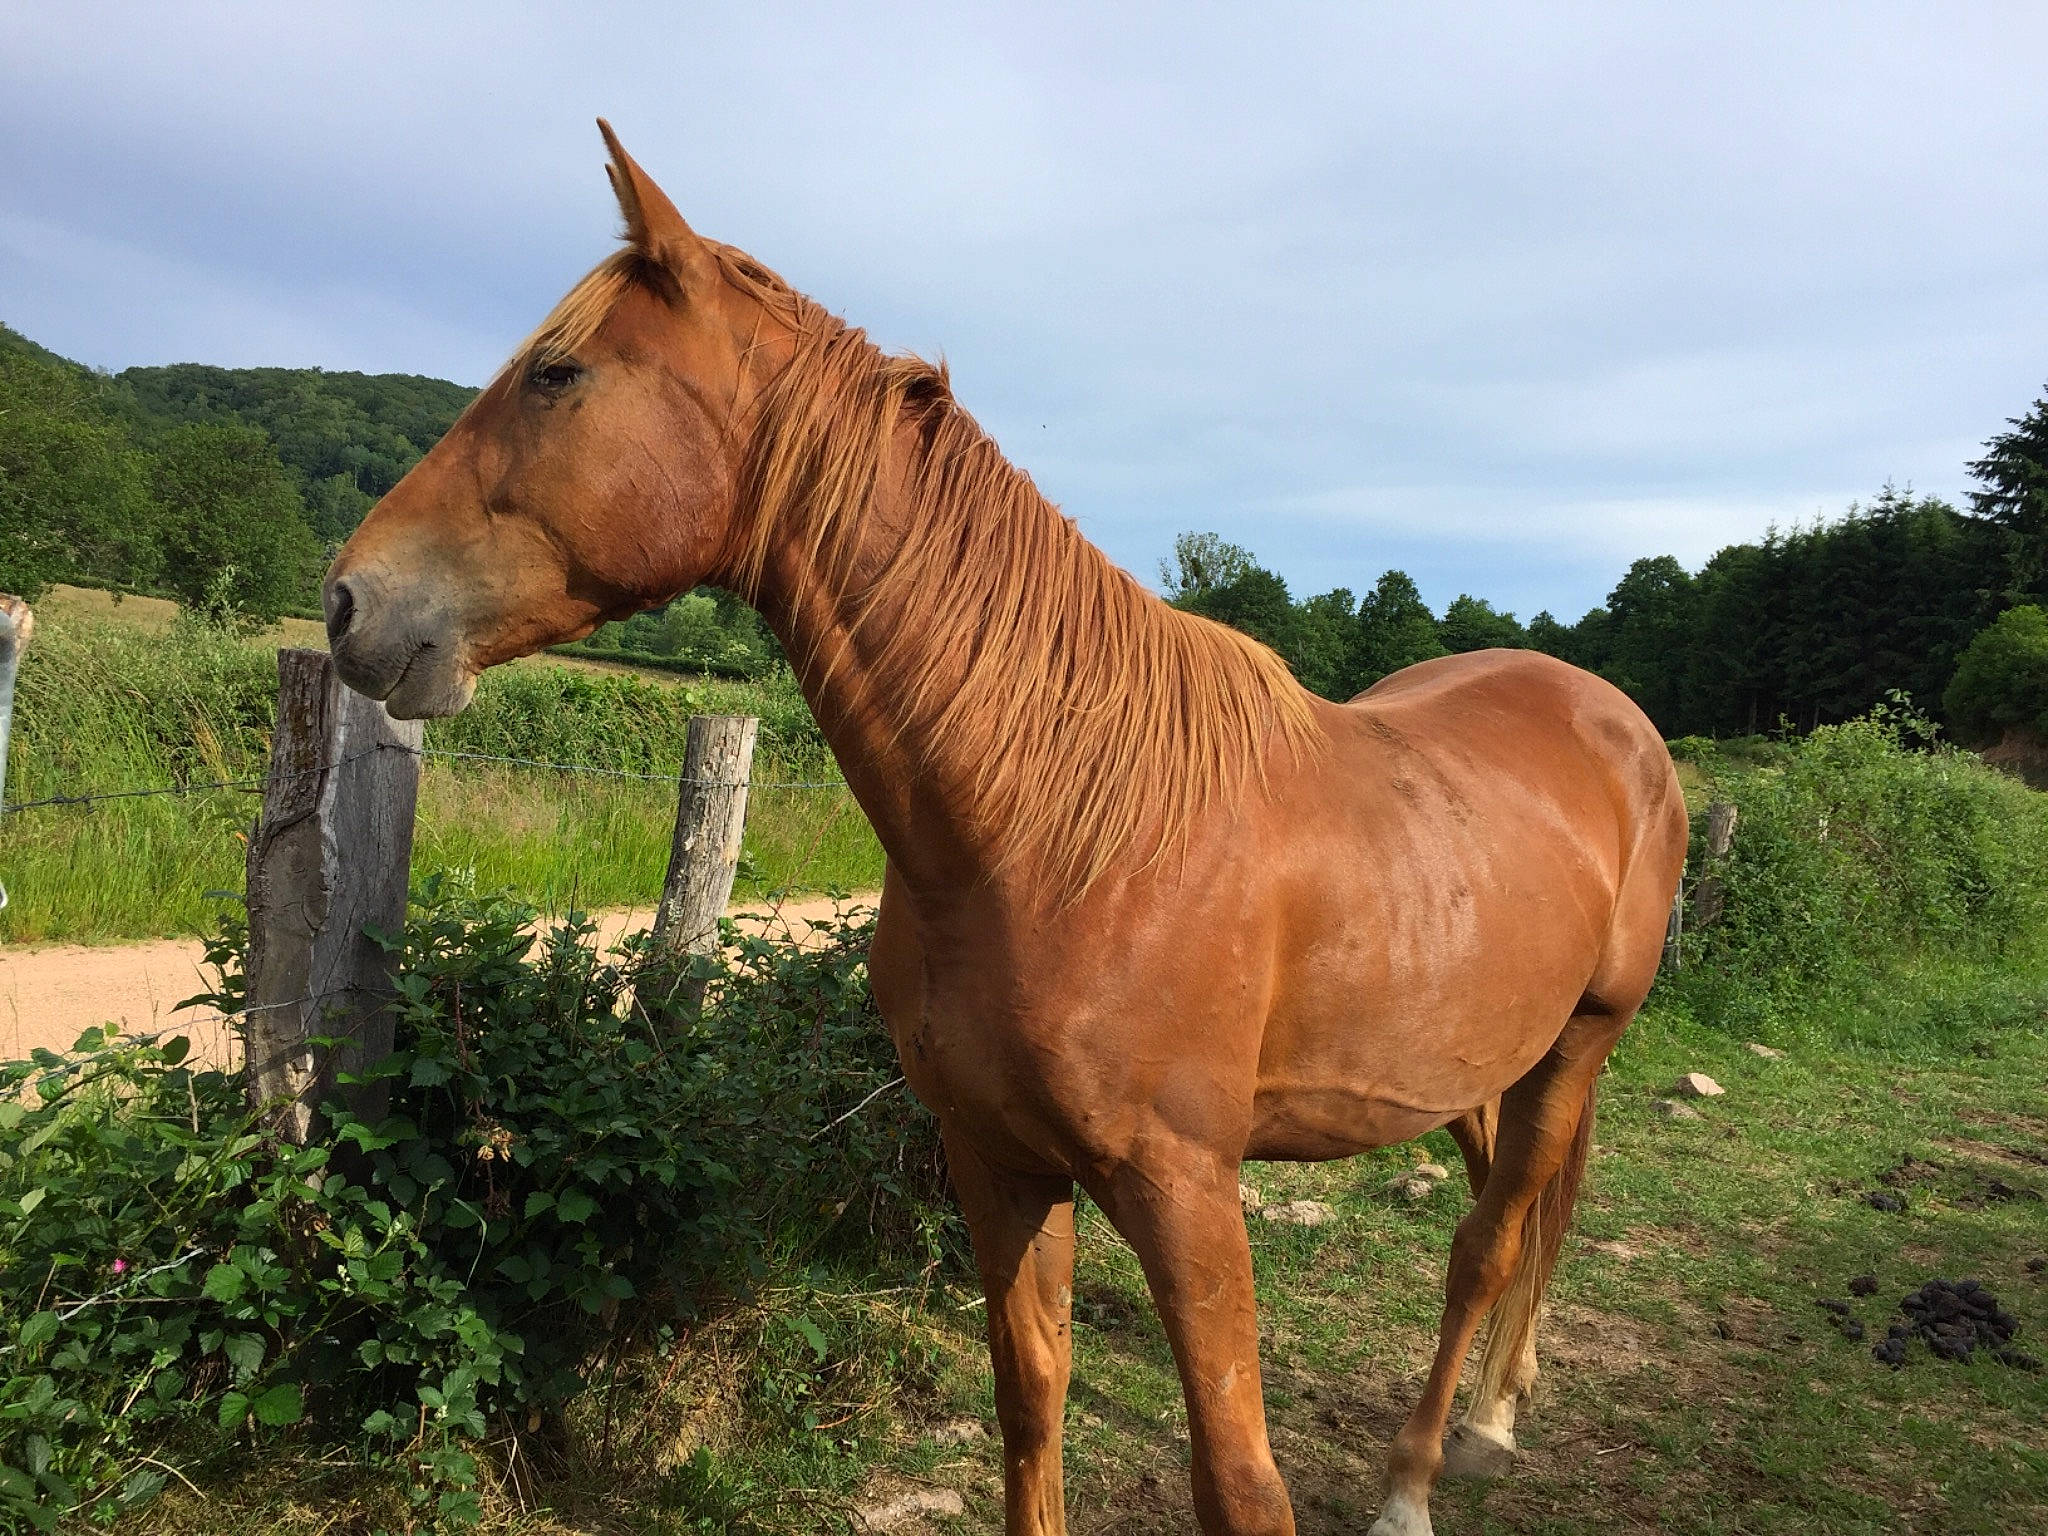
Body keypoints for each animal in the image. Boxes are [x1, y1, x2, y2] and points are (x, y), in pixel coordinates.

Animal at [325, 122, 1688, 1536]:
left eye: (555, 373)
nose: (350, 601)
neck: (1059, 837)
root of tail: (1611, 721)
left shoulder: (1185, 1191)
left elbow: (1237, 1482)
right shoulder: (994, 1161)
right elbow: (1029, 1403)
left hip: (1576, 1044)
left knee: (1485, 1244)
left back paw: (1424, 1468)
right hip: (1474, 1057)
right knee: (1501, 1218)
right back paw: (1496, 1406)